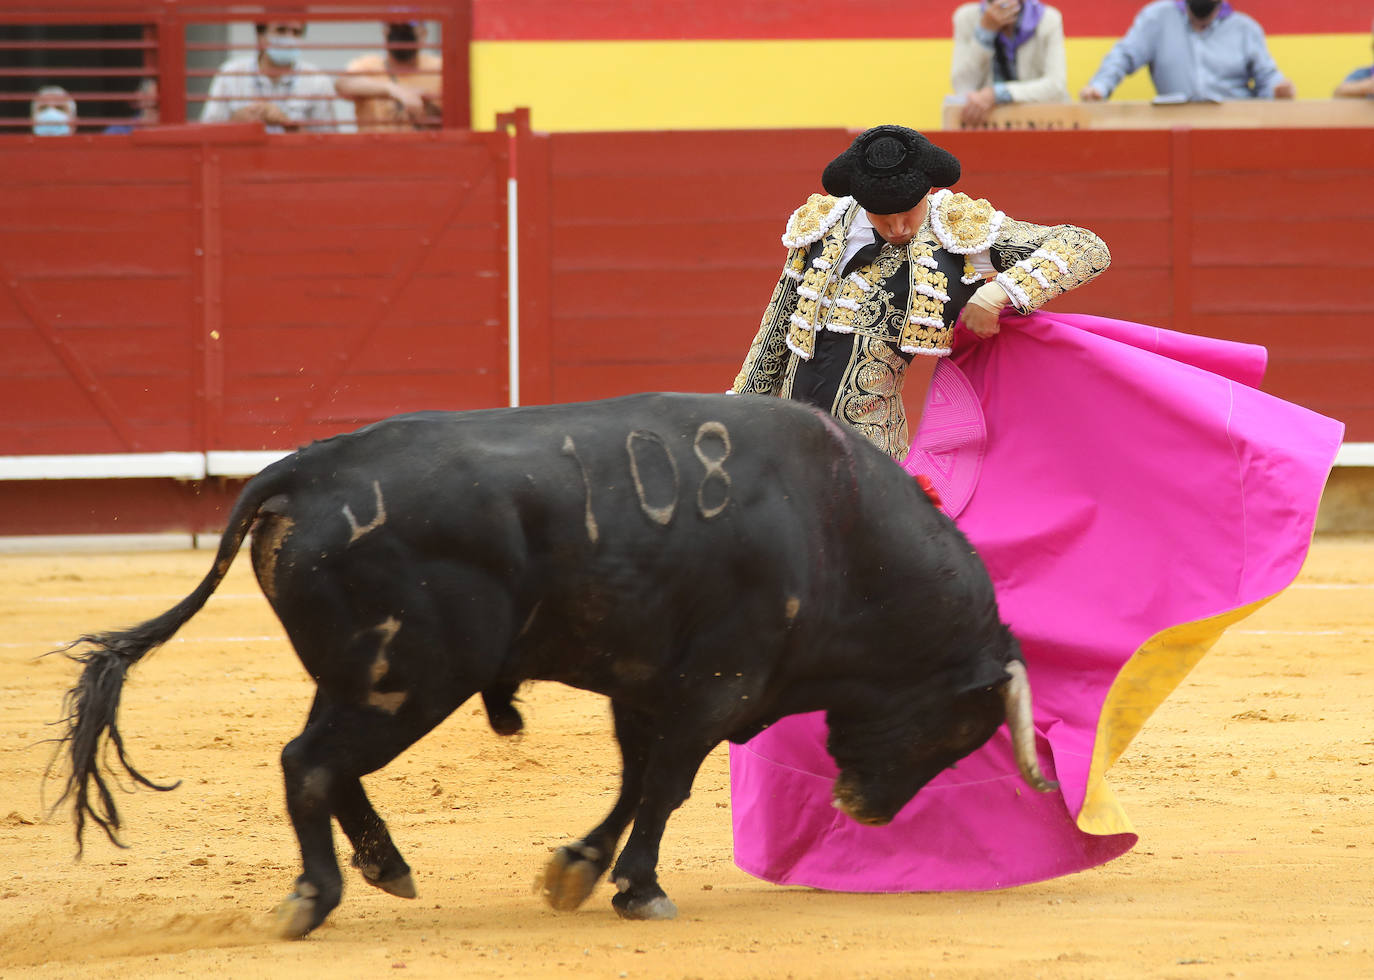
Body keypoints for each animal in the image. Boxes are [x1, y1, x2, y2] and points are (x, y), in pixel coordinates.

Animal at [50, 387, 1049, 934]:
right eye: (959, 729)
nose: (866, 809)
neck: (837, 530)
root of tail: (302, 470)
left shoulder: (645, 683)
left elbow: (635, 781)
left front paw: (577, 869)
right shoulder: (715, 687)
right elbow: (664, 786)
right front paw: (640, 888)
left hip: (370, 681)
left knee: (326, 766)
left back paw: (385, 866)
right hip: (409, 679)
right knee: (311, 764)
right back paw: (317, 894)